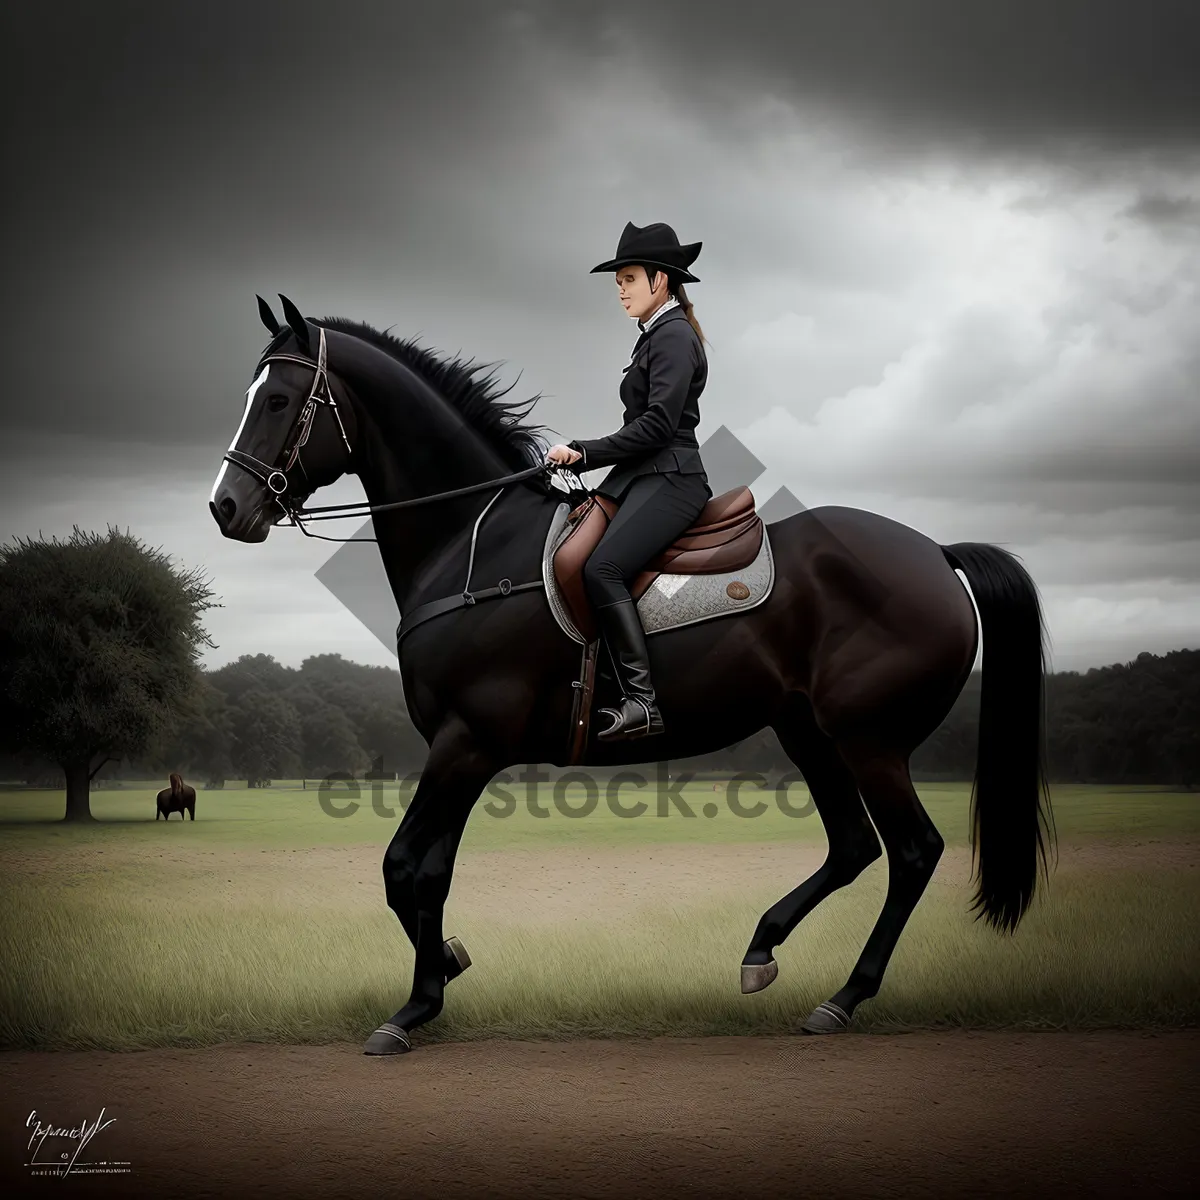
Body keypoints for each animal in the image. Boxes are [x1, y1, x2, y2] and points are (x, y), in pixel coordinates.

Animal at [211, 295, 1056, 1056]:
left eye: (279, 399)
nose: (226, 508)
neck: (475, 546)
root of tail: (935, 553)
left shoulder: (466, 743)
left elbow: (408, 869)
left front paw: (414, 1007)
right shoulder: (459, 750)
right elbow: (421, 872)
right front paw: (443, 968)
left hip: (868, 739)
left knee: (913, 853)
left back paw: (844, 998)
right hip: (807, 730)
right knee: (854, 847)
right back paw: (762, 951)